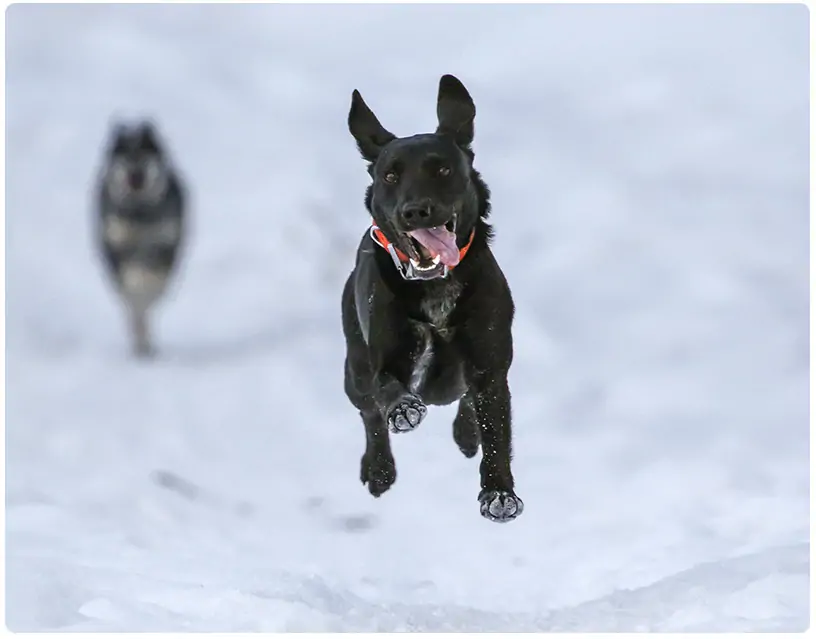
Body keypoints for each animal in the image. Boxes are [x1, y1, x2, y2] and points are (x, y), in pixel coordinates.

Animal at [95, 121, 186, 360]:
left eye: (144, 156)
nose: (135, 174)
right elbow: (133, 288)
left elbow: (152, 280)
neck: (140, 211)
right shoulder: (117, 242)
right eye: (125, 156)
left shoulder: (165, 243)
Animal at [342, 76, 524, 524]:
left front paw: (499, 493)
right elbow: (387, 388)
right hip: (352, 370)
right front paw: (404, 410)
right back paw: (379, 469)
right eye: (390, 176)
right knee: (368, 412)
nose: (415, 211)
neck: (435, 287)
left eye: (442, 169)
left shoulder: (490, 362)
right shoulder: (381, 355)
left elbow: (496, 426)